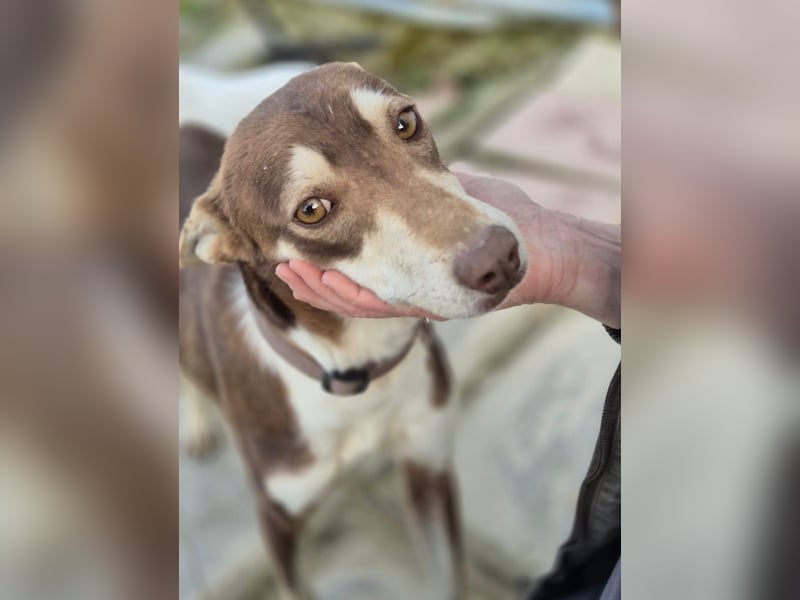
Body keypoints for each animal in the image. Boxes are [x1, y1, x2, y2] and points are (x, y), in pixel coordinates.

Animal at [179, 62, 527, 599]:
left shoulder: (428, 465)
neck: (352, 366)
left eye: (406, 123)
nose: (498, 259)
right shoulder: (277, 520)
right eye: (311, 210)